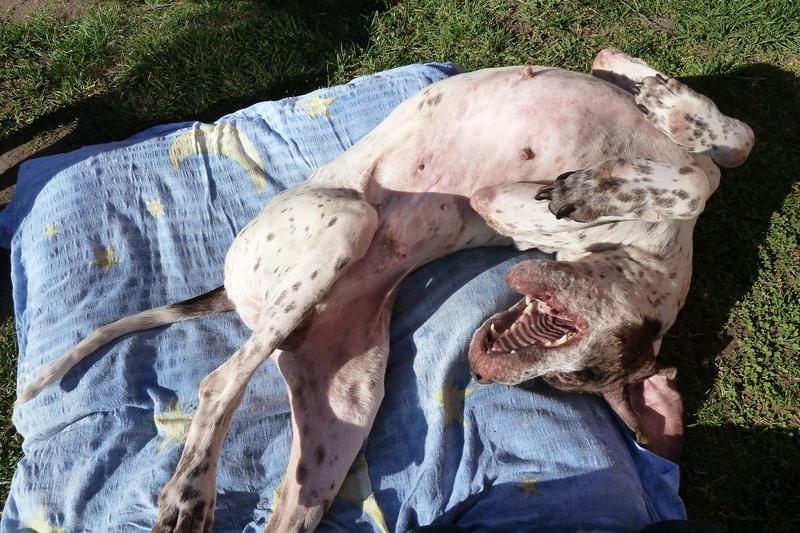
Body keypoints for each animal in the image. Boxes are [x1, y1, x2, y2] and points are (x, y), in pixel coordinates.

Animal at [17, 49, 753, 532]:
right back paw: (190, 492)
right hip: (347, 221)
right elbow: (719, 159)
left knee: (290, 495)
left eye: (565, 386)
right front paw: (658, 105)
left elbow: (715, 159)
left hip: (346, 397)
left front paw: (661, 112)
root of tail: (231, 286)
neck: (650, 252)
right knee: (219, 381)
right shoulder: (507, 200)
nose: (486, 370)